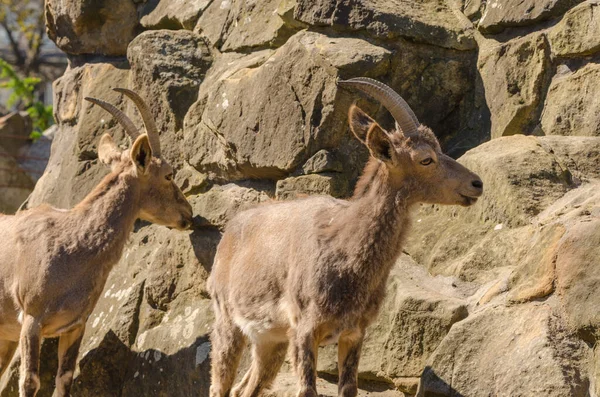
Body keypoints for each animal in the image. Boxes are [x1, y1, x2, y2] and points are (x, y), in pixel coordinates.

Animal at [0, 89, 192, 396]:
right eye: (169, 174)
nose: (188, 214)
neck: (71, 247)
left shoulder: (75, 326)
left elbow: (64, 378)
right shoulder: (32, 318)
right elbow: (29, 381)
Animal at [209, 78, 486, 396]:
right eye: (425, 159)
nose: (476, 183)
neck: (344, 248)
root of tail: (228, 235)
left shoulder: (353, 333)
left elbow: (348, 388)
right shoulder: (305, 330)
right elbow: (307, 390)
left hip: (270, 339)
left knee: (247, 387)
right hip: (228, 322)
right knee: (220, 386)